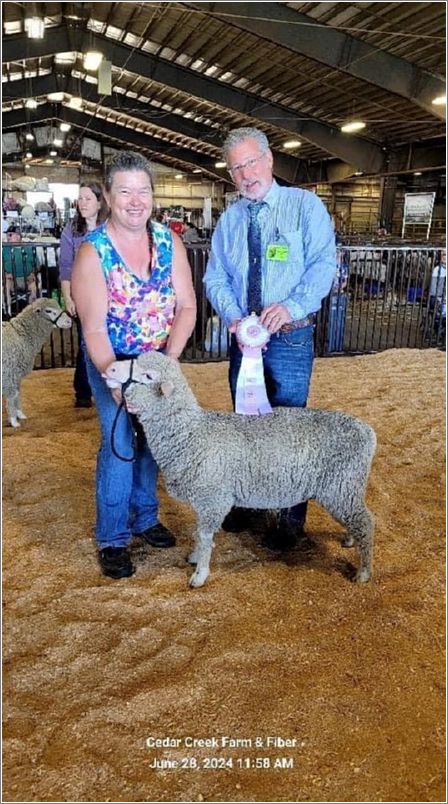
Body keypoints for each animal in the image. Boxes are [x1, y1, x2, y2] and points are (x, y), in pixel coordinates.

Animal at [2, 296, 72, 428]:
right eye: (49, 311)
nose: (69, 321)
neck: (21, 334)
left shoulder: (16, 375)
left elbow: (17, 393)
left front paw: (19, 414)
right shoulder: (10, 373)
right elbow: (12, 395)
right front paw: (13, 420)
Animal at [104, 354, 374, 588]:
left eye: (148, 375)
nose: (110, 368)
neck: (191, 433)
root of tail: (367, 431)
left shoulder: (213, 499)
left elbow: (204, 536)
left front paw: (199, 573)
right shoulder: (204, 500)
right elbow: (198, 533)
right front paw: (195, 557)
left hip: (341, 486)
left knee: (366, 521)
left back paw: (363, 572)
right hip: (345, 489)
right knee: (357, 518)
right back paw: (350, 540)